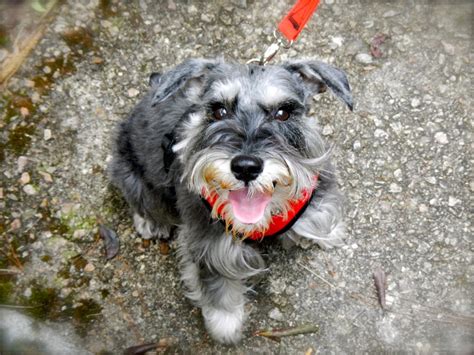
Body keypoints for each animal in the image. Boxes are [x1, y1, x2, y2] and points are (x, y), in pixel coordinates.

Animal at [108, 59, 352, 344]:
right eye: (219, 111)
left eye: (283, 112)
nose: (245, 167)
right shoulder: (212, 248)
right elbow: (219, 288)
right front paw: (225, 325)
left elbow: (319, 215)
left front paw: (327, 232)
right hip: (131, 175)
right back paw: (150, 222)